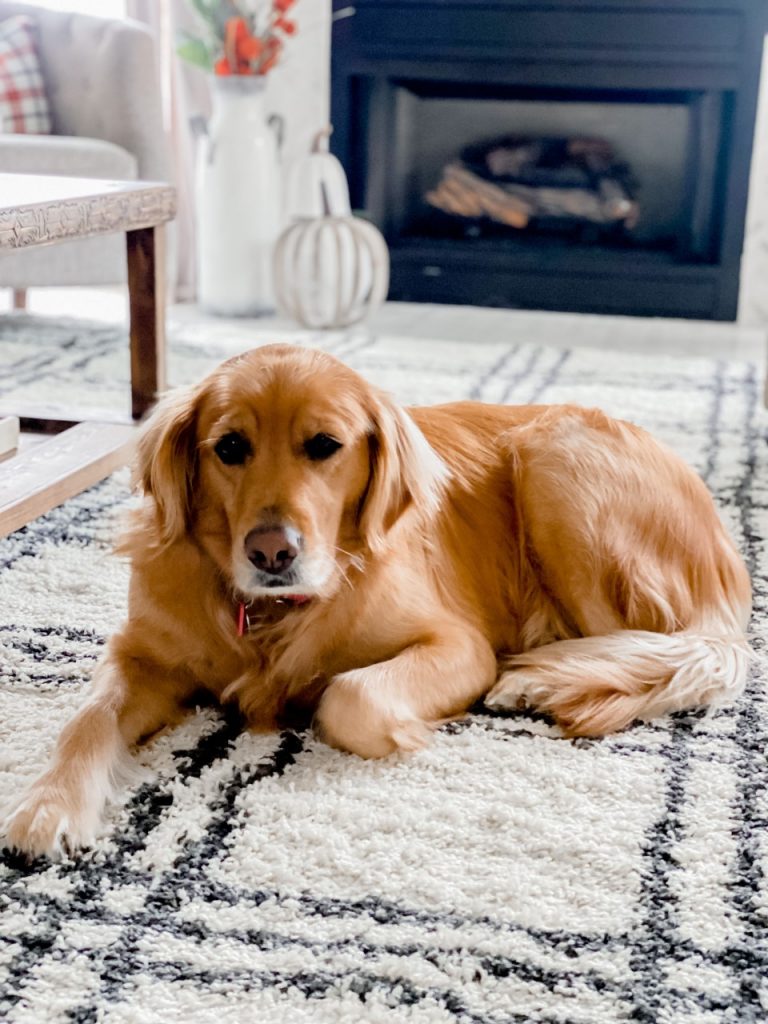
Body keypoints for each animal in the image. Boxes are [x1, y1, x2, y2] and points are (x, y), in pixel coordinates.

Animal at [4, 342, 753, 856]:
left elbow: (351, 695)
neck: (273, 617)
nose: (271, 552)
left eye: (325, 445)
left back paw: (539, 678)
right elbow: (87, 719)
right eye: (230, 446)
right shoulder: (141, 654)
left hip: (556, 459)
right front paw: (47, 808)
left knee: (664, 643)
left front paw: (399, 728)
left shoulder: (457, 644)